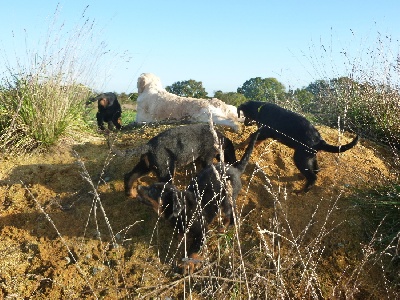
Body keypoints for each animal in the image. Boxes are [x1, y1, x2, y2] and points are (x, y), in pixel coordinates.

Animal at [136, 130, 258, 274]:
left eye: (153, 190)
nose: (138, 187)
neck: (184, 210)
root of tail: (235, 169)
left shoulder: (203, 232)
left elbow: (193, 250)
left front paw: (187, 266)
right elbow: (181, 234)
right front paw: (182, 238)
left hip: (227, 200)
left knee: (231, 215)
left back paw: (223, 228)